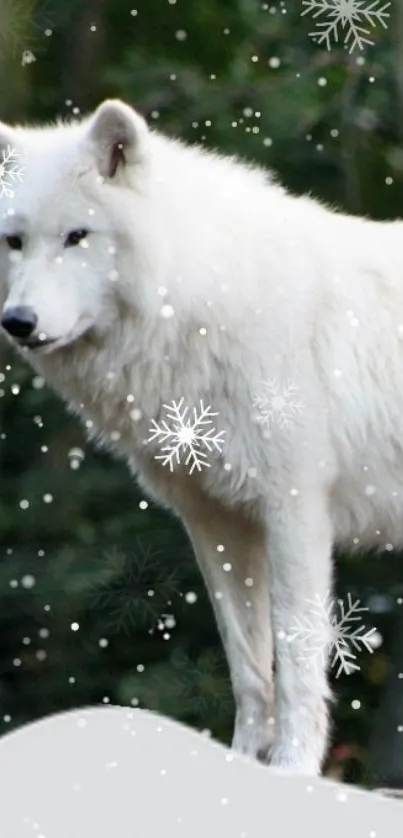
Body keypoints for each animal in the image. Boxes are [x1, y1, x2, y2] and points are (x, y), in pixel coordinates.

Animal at [0, 101, 400, 776]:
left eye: (78, 236)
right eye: (15, 241)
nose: (17, 322)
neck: (202, 302)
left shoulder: (295, 509)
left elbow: (295, 650)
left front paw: (293, 768)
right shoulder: (216, 519)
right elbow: (246, 660)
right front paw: (241, 764)